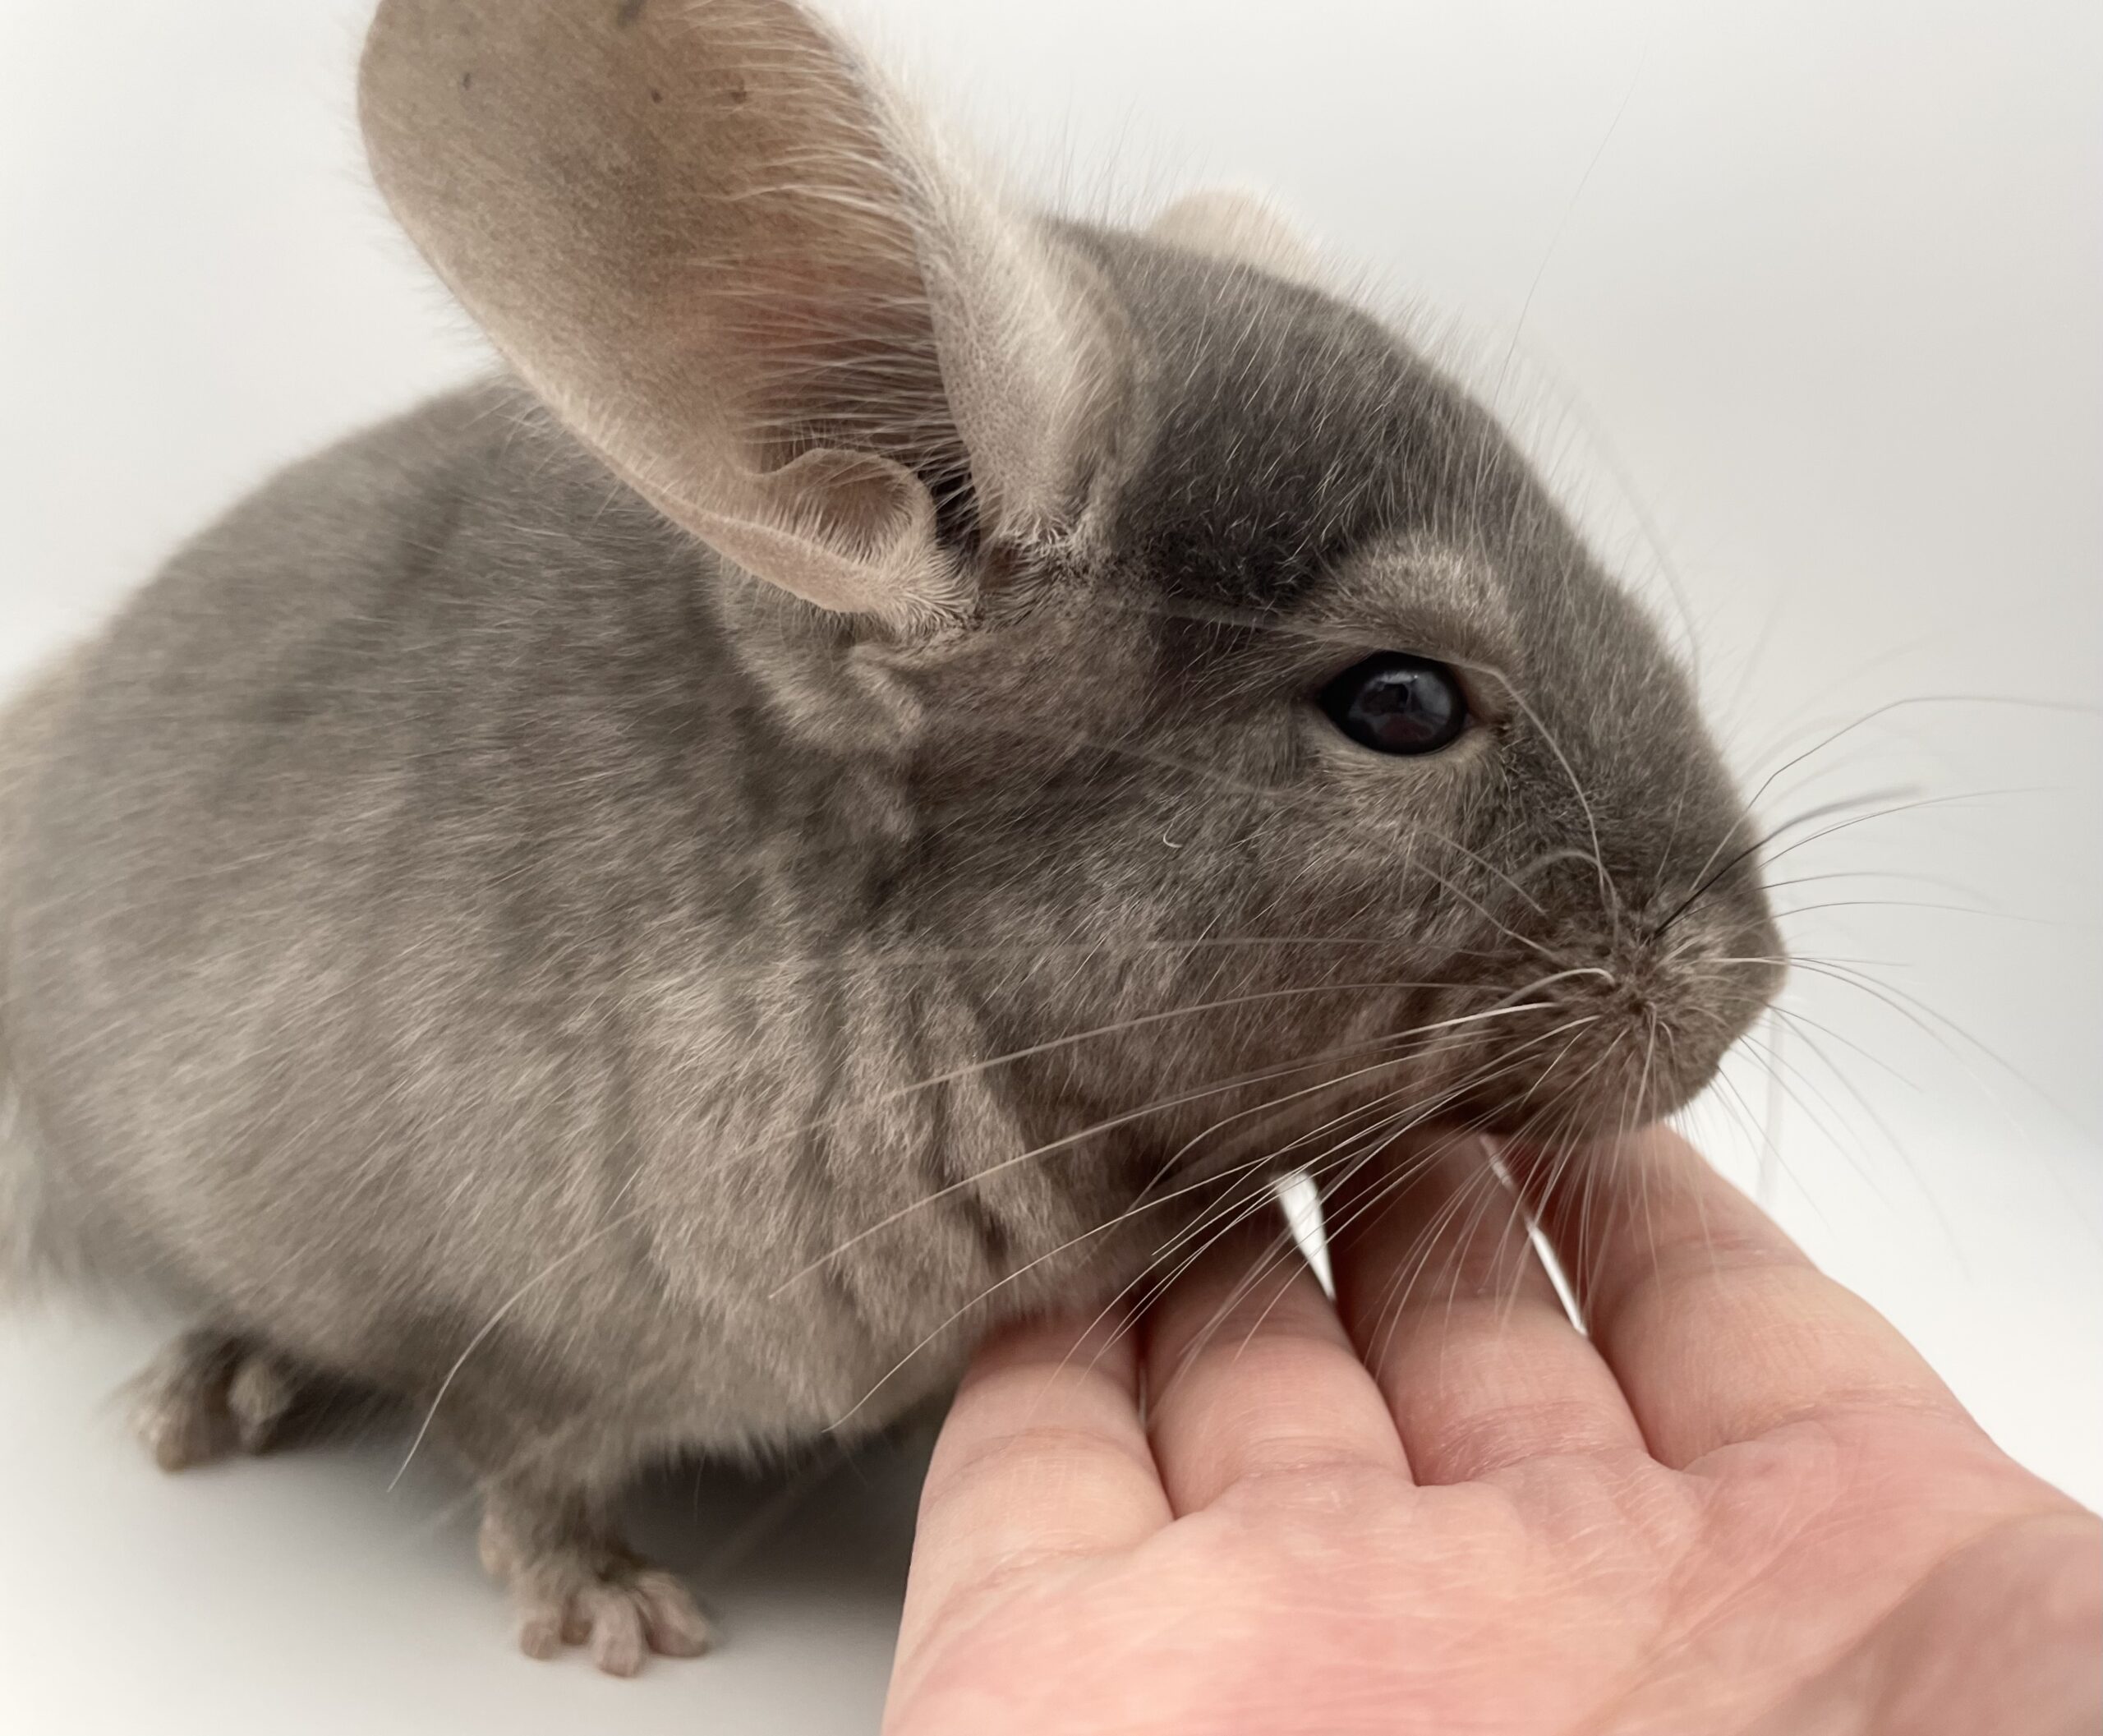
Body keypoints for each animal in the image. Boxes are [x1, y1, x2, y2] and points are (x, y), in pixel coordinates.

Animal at [0, 0, 1783, 1675]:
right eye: (1401, 702)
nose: (1752, 978)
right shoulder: (487, 1313)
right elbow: (525, 1464)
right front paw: (617, 1617)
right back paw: (219, 1381)